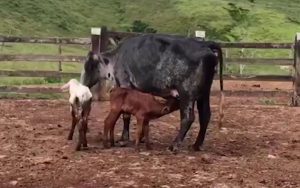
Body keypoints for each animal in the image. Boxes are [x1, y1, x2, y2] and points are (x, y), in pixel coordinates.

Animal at [81, 33, 224, 152]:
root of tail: (204, 44)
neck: (117, 57)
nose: (84, 84)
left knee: (188, 118)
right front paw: (141, 138)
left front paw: (124, 139)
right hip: (204, 94)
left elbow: (126, 115)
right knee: (205, 116)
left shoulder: (125, 83)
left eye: (89, 66)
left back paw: (174, 145)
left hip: (187, 94)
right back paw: (196, 145)